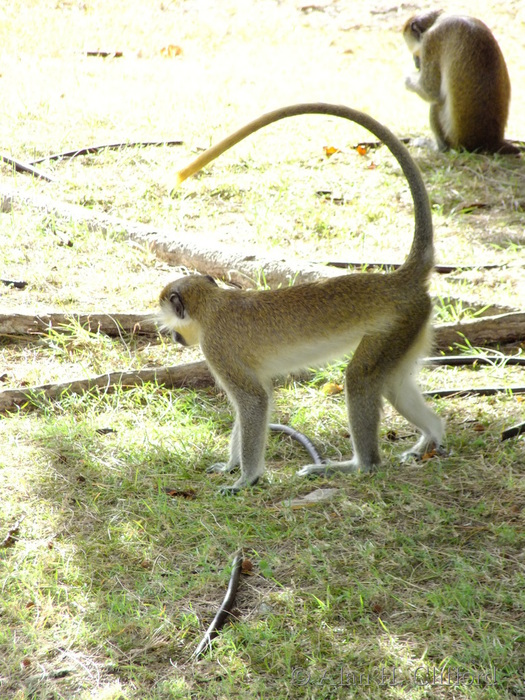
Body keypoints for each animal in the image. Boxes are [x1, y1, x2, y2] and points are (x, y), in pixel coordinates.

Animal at [160, 103, 444, 493]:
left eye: (167, 315)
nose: (169, 334)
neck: (212, 305)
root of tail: (398, 280)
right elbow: (253, 402)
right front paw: (231, 465)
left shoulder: (216, 349)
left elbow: (253, 401)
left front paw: (246, 479)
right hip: (411, 326)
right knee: (394, 384)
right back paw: (430, 439)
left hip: (396, 326)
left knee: (360, 379)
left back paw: (357, 465)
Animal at [403, 10, 519, 154]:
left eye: (416, 53)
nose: (416, 63)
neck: (440, 19)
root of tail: (491, 142)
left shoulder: (431, 40)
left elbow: (430, 91)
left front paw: (408, 79)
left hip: (454, 138)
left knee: (436, 104)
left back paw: (439, 147)